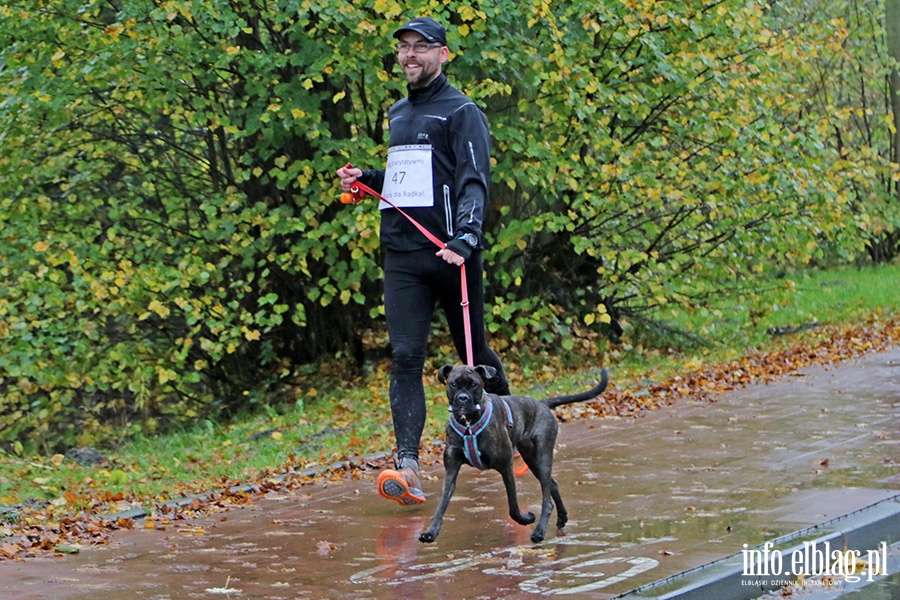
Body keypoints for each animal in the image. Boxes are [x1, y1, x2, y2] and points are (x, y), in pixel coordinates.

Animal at [422, 366, 612, 544]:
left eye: (474, 384)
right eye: (453, 384)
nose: (463, 398)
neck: (468, 424)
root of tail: (542, 404)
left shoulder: (506, 467)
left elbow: (513, 508)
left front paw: (525, 518)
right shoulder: (451, 471)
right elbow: (441, 504)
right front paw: (431, 532)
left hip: (543, 458)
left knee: (547, 499)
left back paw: (539, 531)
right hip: (532, 459)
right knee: (553, 486)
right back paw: (562, 517)